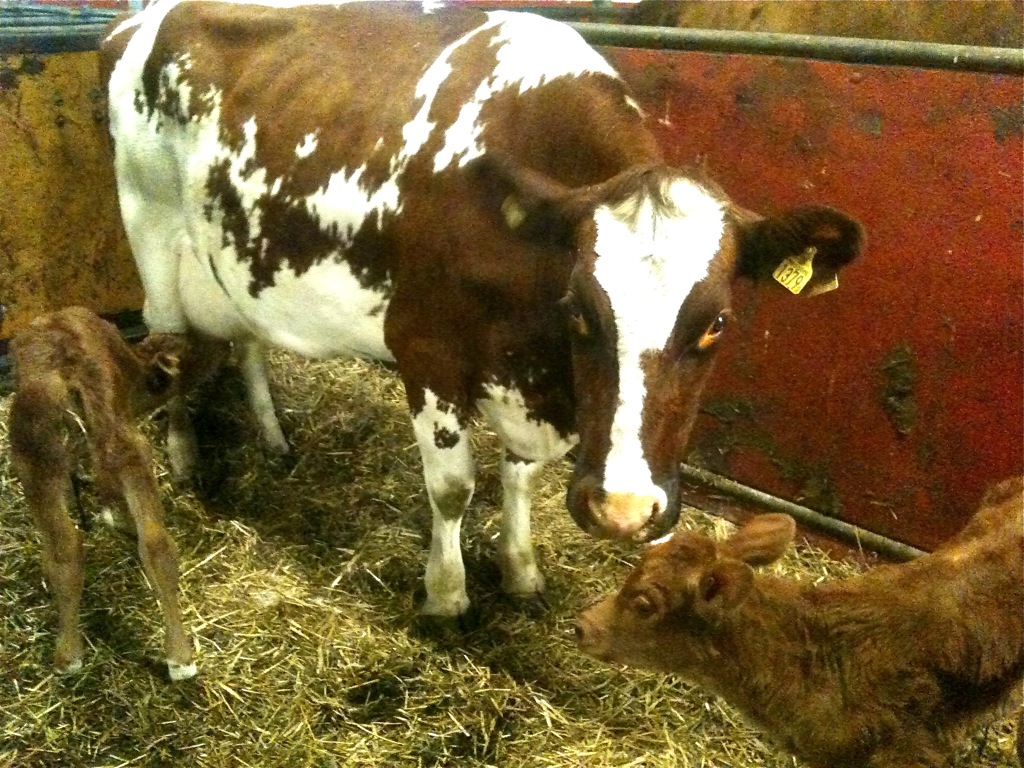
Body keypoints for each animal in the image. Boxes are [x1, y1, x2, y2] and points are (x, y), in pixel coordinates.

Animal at [100, 0, 863, 622]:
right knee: (166, 350)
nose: (623, 511)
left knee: (246, 341)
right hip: (150, 230)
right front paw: (447, 594)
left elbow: (518, 477)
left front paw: (520, 569)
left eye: (717, 324)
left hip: (232, 257)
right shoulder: (427, 351)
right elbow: (453, 487)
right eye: (579, 311)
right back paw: (184, 456)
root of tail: (135, 21)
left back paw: (271, 436)